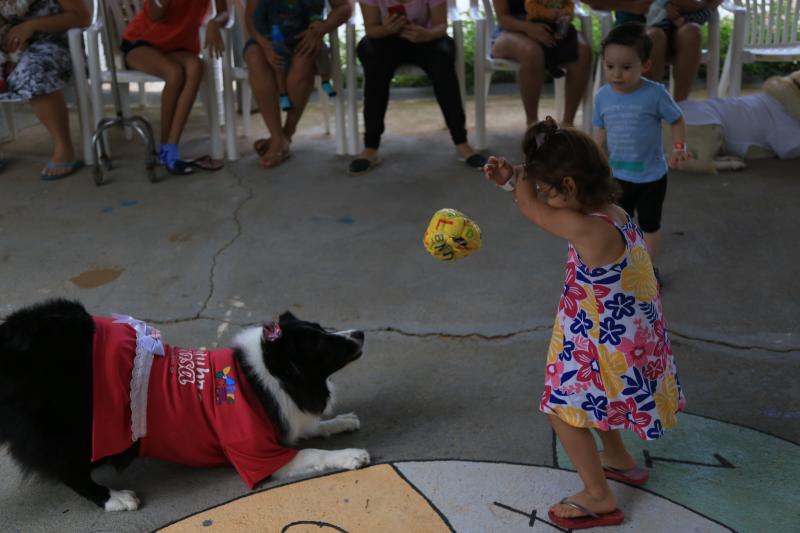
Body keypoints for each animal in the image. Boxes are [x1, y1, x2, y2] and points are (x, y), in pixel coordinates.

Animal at [0, 300, 368, 512]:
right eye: (319, 345)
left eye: (321, 329)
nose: (361, 333)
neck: (262, 374)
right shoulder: (257, 456)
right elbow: (311, 454)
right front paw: (350, 455)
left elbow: (310, 429)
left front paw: (340, 421)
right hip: (75, 432)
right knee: (70, 472)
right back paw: (114, 498)